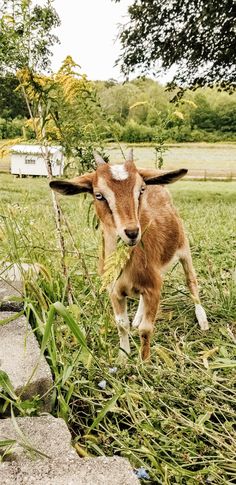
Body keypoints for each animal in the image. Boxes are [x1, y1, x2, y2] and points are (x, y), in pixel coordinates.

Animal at [50, 150, 208, 360]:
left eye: (140, 190)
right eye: (99, 195)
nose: (132, 232)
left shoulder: (154, 288)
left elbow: (146, 329)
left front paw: (144, 361)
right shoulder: (114, 290)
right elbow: (121, 324)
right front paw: (123, 356)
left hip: (184, 248)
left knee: (191, 281)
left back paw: (202, 319)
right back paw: (138, 317)